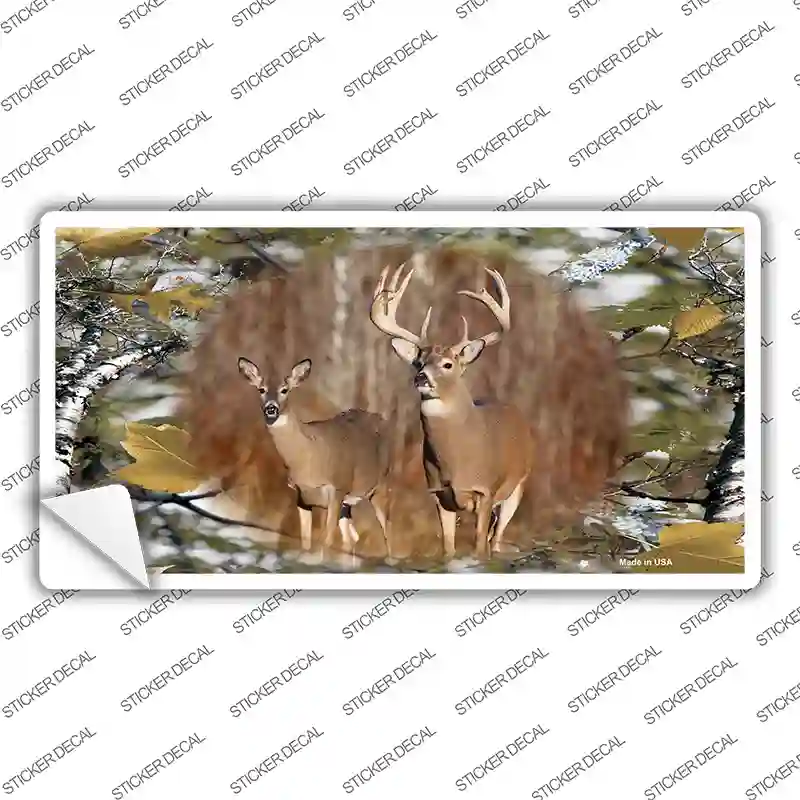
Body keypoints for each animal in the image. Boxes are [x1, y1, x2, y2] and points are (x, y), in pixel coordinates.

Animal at [237, 357, 392, 557]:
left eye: (284, 389)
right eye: (261, 389)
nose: (271, 408)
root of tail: (380, 418)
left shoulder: (337, 487)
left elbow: (326, 541)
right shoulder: (301, 496)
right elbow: (306, 541)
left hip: (381, 485)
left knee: (387, 533)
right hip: (348, 502)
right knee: (352, 538)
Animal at [370, 262, 533, 561]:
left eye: (447, 364)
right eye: (418, 362)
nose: (421, 377)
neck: (456, 462)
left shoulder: (485, 490)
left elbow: (479, 544)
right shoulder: (438, 493)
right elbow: (448, 546)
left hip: (518, 486)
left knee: (496, 538)